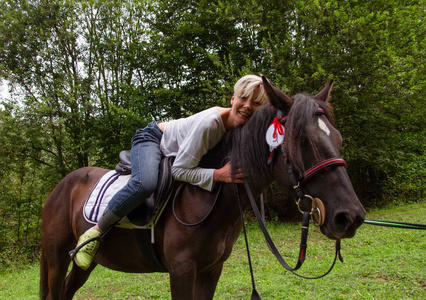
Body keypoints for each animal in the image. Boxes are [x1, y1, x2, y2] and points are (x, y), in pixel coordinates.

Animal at [40, 76, 366, 298]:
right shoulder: (182, 271)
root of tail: (60, 188)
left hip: (85, 263)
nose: (350, 217)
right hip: (56, 256)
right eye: (303, 142)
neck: (207, 200)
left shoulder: (211, 270)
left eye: (338, 138)